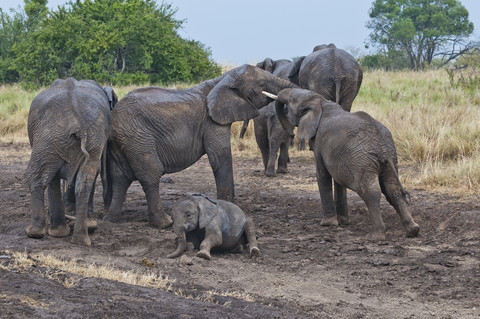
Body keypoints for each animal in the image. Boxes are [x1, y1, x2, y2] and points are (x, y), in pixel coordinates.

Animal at [25, 78, 117, 248]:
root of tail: (76, 114)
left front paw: (58, 232)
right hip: (86, 136)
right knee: (85, 182)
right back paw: (82, 238)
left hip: (49, 137)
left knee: (37, 177)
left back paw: (34, 232)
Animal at [102, 64, 294, 228]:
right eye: (262, 84)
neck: (222, 79)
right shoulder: (212, 122)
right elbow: (220, 158)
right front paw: (229, 207)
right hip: (138, 137)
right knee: (151, 173)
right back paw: (165, 223)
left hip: (123, 141)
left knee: (120, 177)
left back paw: (111, 219)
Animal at [266, 89, 420, 241]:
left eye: (291, 101)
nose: (291, 135)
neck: (320, 101)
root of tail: (383, 147)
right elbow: (338, 180)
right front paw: (343, 222)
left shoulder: (319, 142)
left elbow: (322, 174)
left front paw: (328, 224)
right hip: (390, 159)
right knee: (392, 190)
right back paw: (412, 230)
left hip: (362, 161)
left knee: (370, 191)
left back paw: (375, 236)